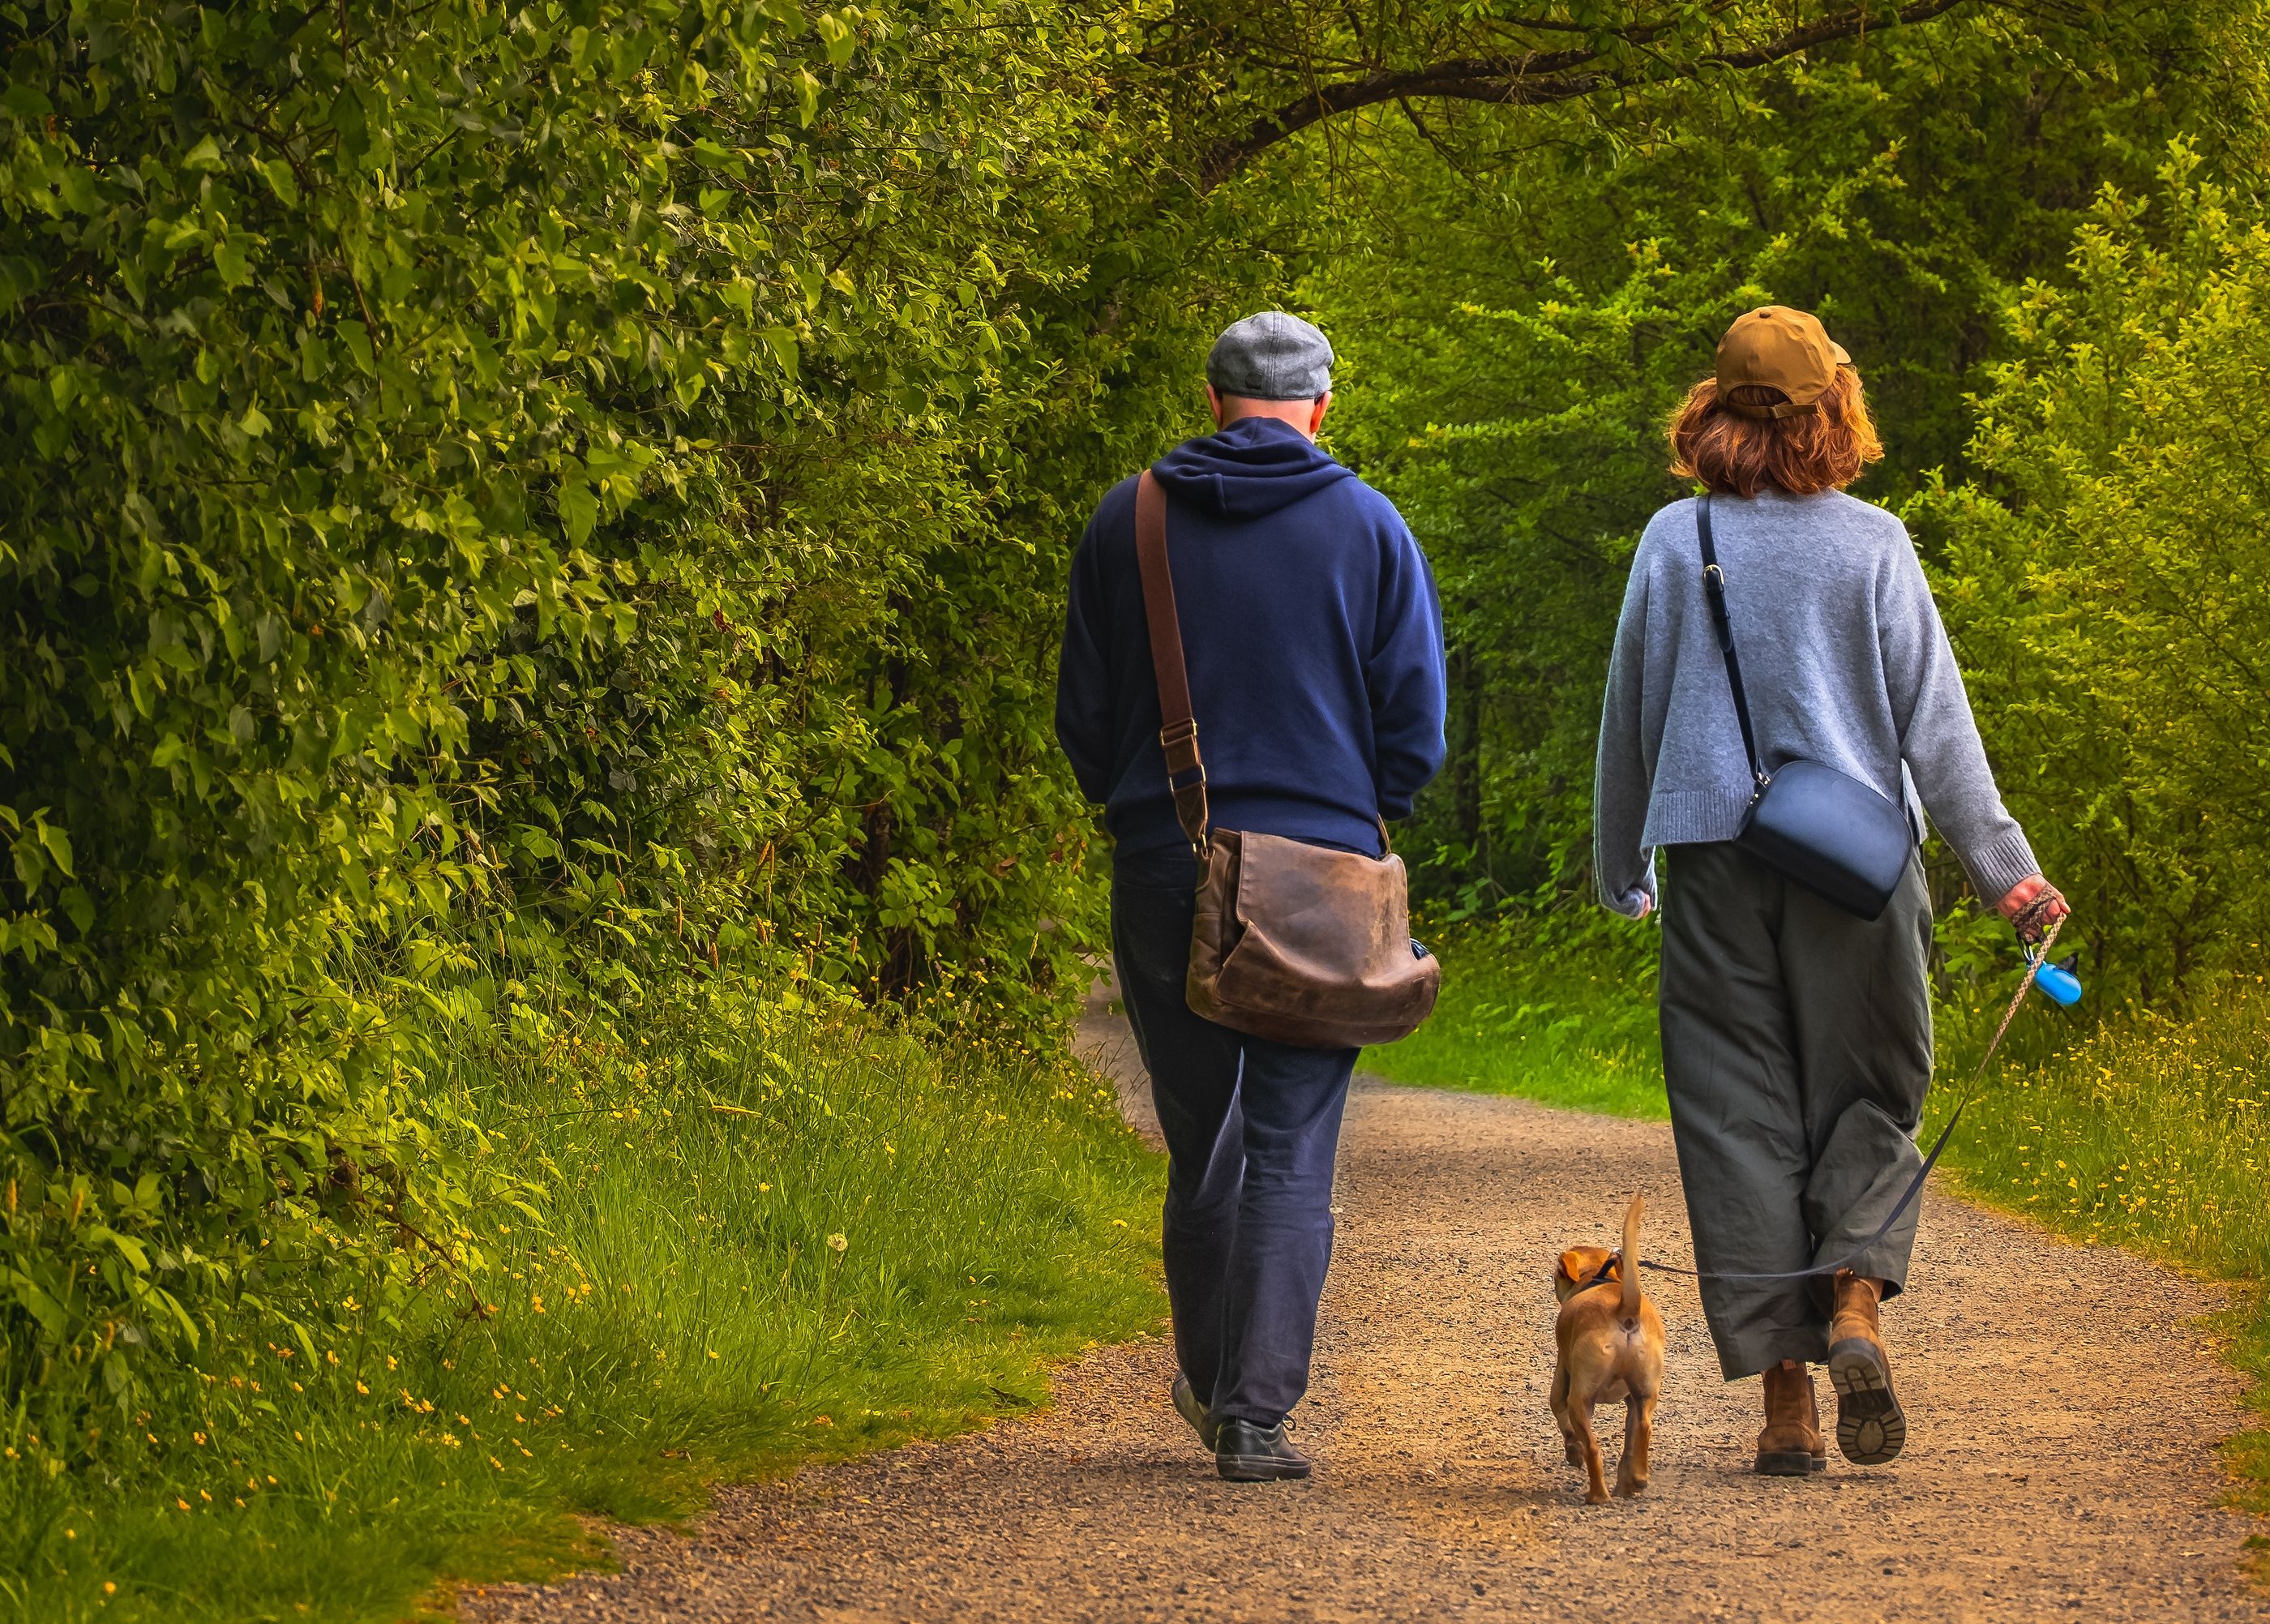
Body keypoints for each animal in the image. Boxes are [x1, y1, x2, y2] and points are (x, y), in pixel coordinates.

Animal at [1544, 1189, 1670, 1508]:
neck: (1599, 1278)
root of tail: (1624, 1308)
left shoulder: (1562, 1378)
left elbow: (1560, 1413)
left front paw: (1572, 1451)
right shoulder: (1631, 1400)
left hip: (1582, 1398)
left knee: (1593, 1448)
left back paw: (1597, 1495)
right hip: (1643, 1395)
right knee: (1643, 1429)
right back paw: (1635, 1481)